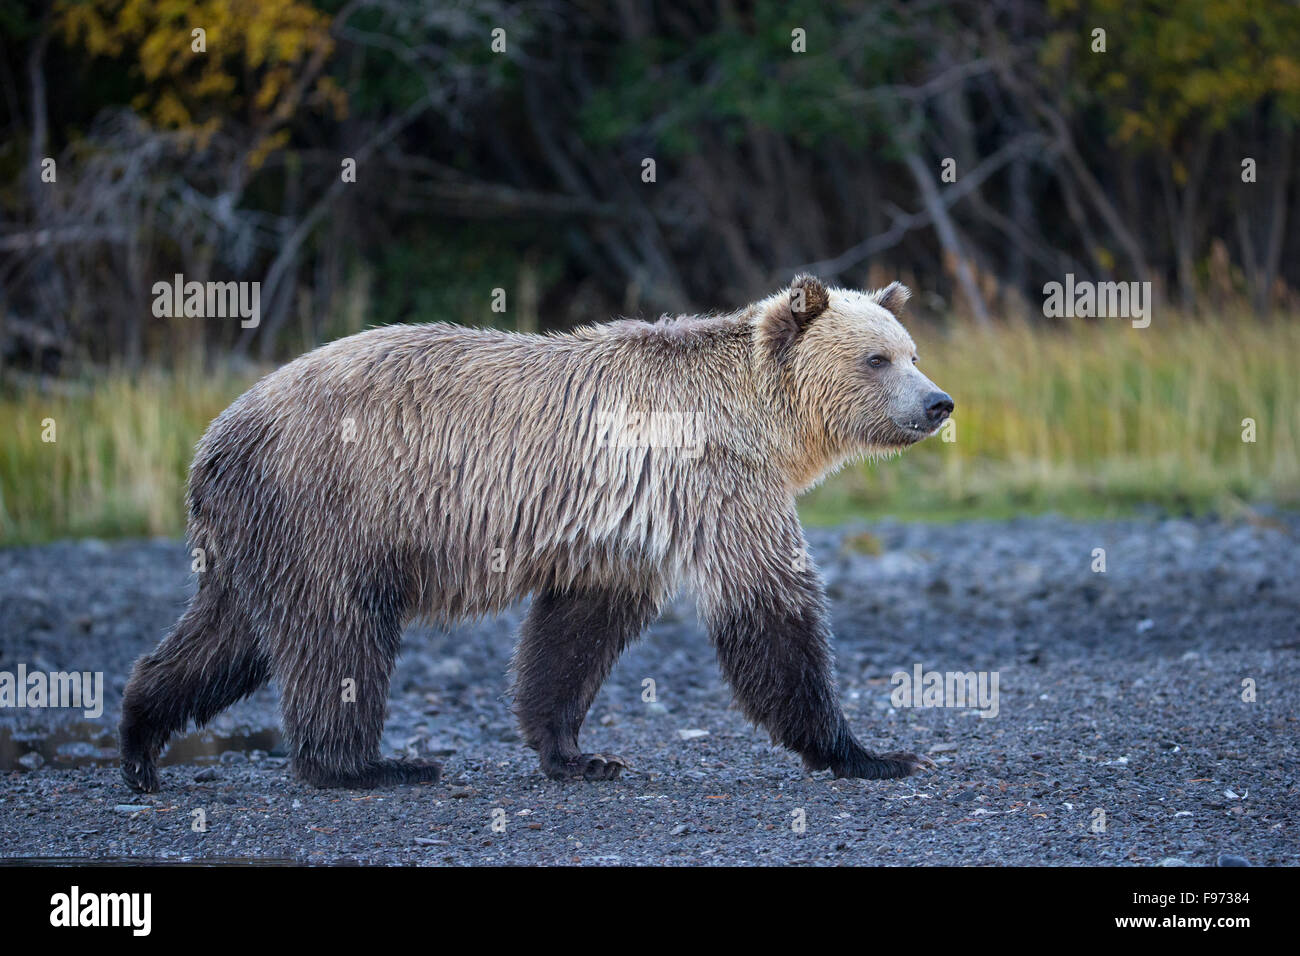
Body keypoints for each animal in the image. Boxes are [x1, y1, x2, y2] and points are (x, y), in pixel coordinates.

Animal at [119, 273, 956, 790]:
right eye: (876, 357)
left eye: (913, 351)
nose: (939, 402)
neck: (763, 422)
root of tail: (216, 438)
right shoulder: (713, 482)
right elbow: (770, 607)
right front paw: (868, 751)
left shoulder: (623, 525)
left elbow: (575, 635)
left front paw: (578, 755)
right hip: (330, 507)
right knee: (335, 634)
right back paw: (367, 766)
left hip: (257, 534)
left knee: (227, 636)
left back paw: (139, 741)